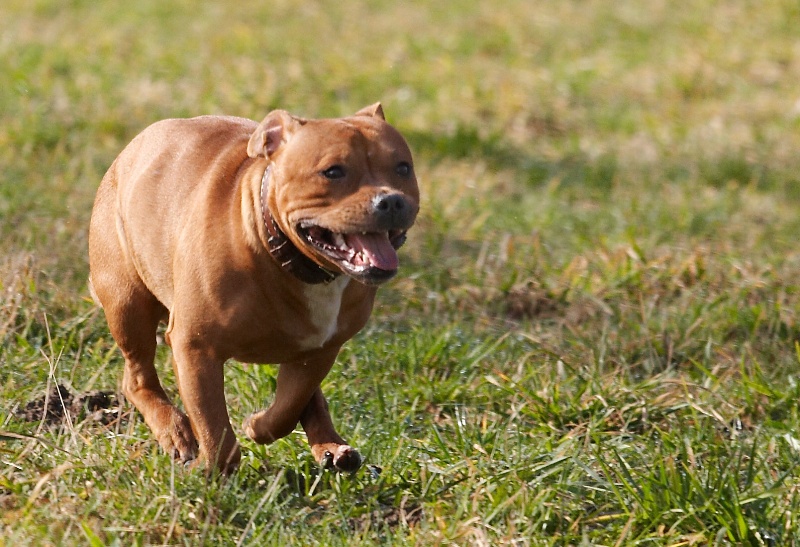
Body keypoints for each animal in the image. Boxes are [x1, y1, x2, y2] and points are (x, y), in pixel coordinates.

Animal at [89, 105, 418, 474]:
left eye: (403, 168)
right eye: (333, 172)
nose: (391, 200)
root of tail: (129, 151)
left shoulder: (320, 351)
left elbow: (291, 404)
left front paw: (259, 426)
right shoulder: (195, 348)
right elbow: (212, 422)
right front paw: (213, 470)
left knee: (310, 399)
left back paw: (331, 446)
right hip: (127, 305)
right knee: (137, 377)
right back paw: (175, 432)